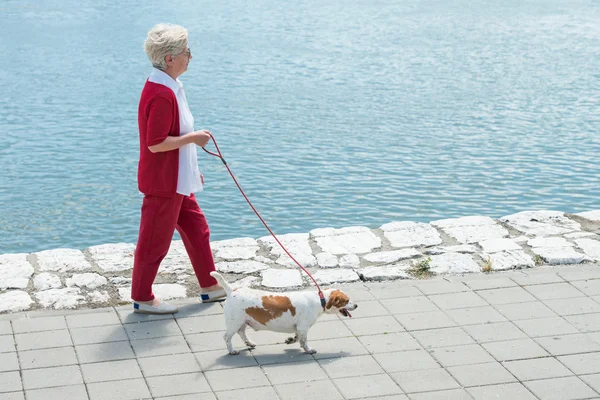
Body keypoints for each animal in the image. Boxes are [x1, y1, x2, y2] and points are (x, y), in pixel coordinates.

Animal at [211, 270, 358, 354]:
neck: (320, 299)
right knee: (227, 337)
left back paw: (249, 343)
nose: (356, 305)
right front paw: (308, 350)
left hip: (241, 322)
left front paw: (291, 340)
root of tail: (232, 290)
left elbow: (298, 337)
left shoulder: (299, 328)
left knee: (242, 333)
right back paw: (232, 351)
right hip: (234, 323)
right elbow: (304, 341)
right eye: (347, 300)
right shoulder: (303, 327)